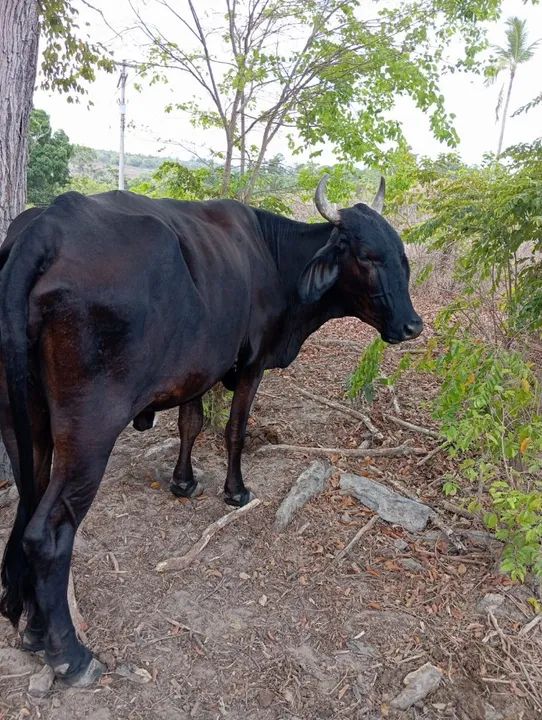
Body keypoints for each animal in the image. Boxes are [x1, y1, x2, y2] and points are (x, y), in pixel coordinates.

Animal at [0, 176, 422, 686]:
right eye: (366, 255)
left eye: (400, 254)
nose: (412, 325)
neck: (274, 257)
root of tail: (46, 226)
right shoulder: (251, 364)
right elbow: (234, 429)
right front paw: (235, 491)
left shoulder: (196, 370)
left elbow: (191, 423)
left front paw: (183, 482)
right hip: (89, 430)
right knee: (47, 533)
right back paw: (70, 655)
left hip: (22, 422)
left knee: (27, 507)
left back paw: (33, 629)